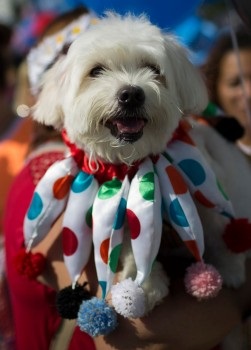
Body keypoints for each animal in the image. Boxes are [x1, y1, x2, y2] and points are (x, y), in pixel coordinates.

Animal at [30, 12, 251, 334]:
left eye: (152, 68)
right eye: (96, 71)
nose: (131, 94)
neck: (135, 164)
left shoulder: (203, 183)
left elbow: (217, 223)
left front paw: (230, 267)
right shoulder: (120, 210)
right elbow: (131, 245)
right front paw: (141, 285)